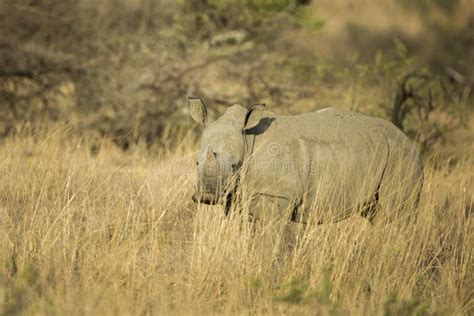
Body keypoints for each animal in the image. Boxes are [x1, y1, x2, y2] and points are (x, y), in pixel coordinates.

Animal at [188, 97, 422, 223]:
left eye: (234, 165)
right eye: (196, 164)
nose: (207, 197)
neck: (248, 138)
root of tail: (411, 142)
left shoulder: (277, 195)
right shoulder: (238, 196)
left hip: (403, 158)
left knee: (395, 216)